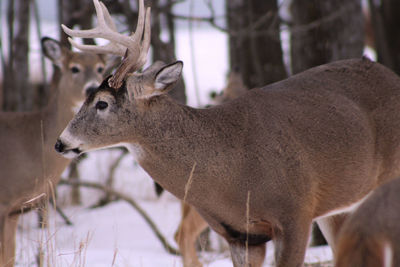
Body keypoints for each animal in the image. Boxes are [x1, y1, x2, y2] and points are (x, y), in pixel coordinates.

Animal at [0, 35, 106, 266]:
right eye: (74, 68)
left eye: (100, 68)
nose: (91, 88)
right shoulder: (3, 201)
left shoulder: (15, 210)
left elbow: (8, 258)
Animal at [55, 0, 400, 266]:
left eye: (102, 103)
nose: (61, 143)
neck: (232, 169)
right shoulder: (241, 235)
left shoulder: (296, 214)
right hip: (340, 205)